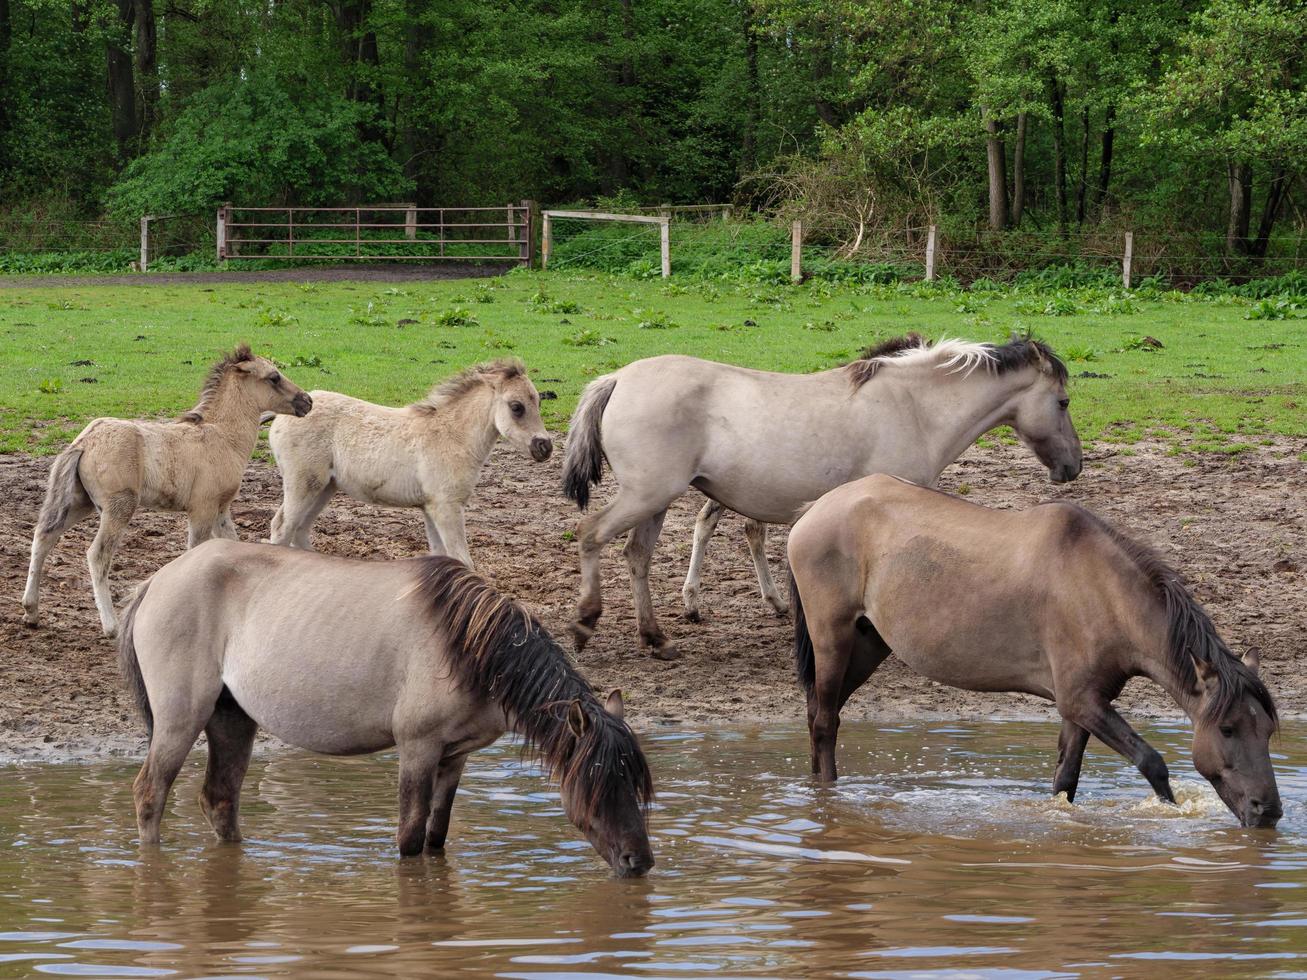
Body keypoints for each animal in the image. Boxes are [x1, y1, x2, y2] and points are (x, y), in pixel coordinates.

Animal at [21, 342, 311, 637]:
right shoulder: (202, 508)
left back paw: (31, 611)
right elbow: (194, 551)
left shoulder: (221, 509)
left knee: (44, 536)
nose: (307, 401)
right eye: (274, 377)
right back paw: (111, 626)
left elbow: (233, 545)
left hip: (81, 502)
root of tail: (83, 442)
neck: (222, 437)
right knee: (97, 554)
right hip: (118, 507)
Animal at [120, 540, 653, 878]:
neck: (467, 647)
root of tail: (155, 581)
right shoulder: (417, 748)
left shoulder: (454, 757)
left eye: (634, 781)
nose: (640, 862)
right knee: (149, 794)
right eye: (599, 782)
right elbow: (410, 838)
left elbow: (437, 838)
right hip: (181, 718)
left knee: (220, 800)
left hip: (233, 719)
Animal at [265, 358, 551, 567]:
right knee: (282, 528)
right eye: (516, 407)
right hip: (303, 483)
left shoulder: (430, 507)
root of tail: (280, 416)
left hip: (325, 487)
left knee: (299, 530)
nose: (545, 447)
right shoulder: (447, 507)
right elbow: (463, 559)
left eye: (538, 401)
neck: (452, 436)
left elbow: (442, 555)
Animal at [562, 334, 1082, 663]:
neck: (916, 407)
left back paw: (656, 639)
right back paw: (585, 622)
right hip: (646, 495)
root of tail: (618, 378)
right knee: (590, 535)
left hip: (657, 501)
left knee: (637, 557)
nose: (1073, 465)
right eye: (1063, 402)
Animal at [778, 475, 1280, 831]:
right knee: (825, 723)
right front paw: (1171, 815)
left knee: (818, 715)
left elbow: (1065, 781)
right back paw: (829, 797)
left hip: (869, 644)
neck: (1103, 590)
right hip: (833, 638)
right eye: (1228, 729)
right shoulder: (1081, 701)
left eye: (1269, 730)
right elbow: (1152, 763)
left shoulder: (1082, 705)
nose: (1268, 811)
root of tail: (814, 509)